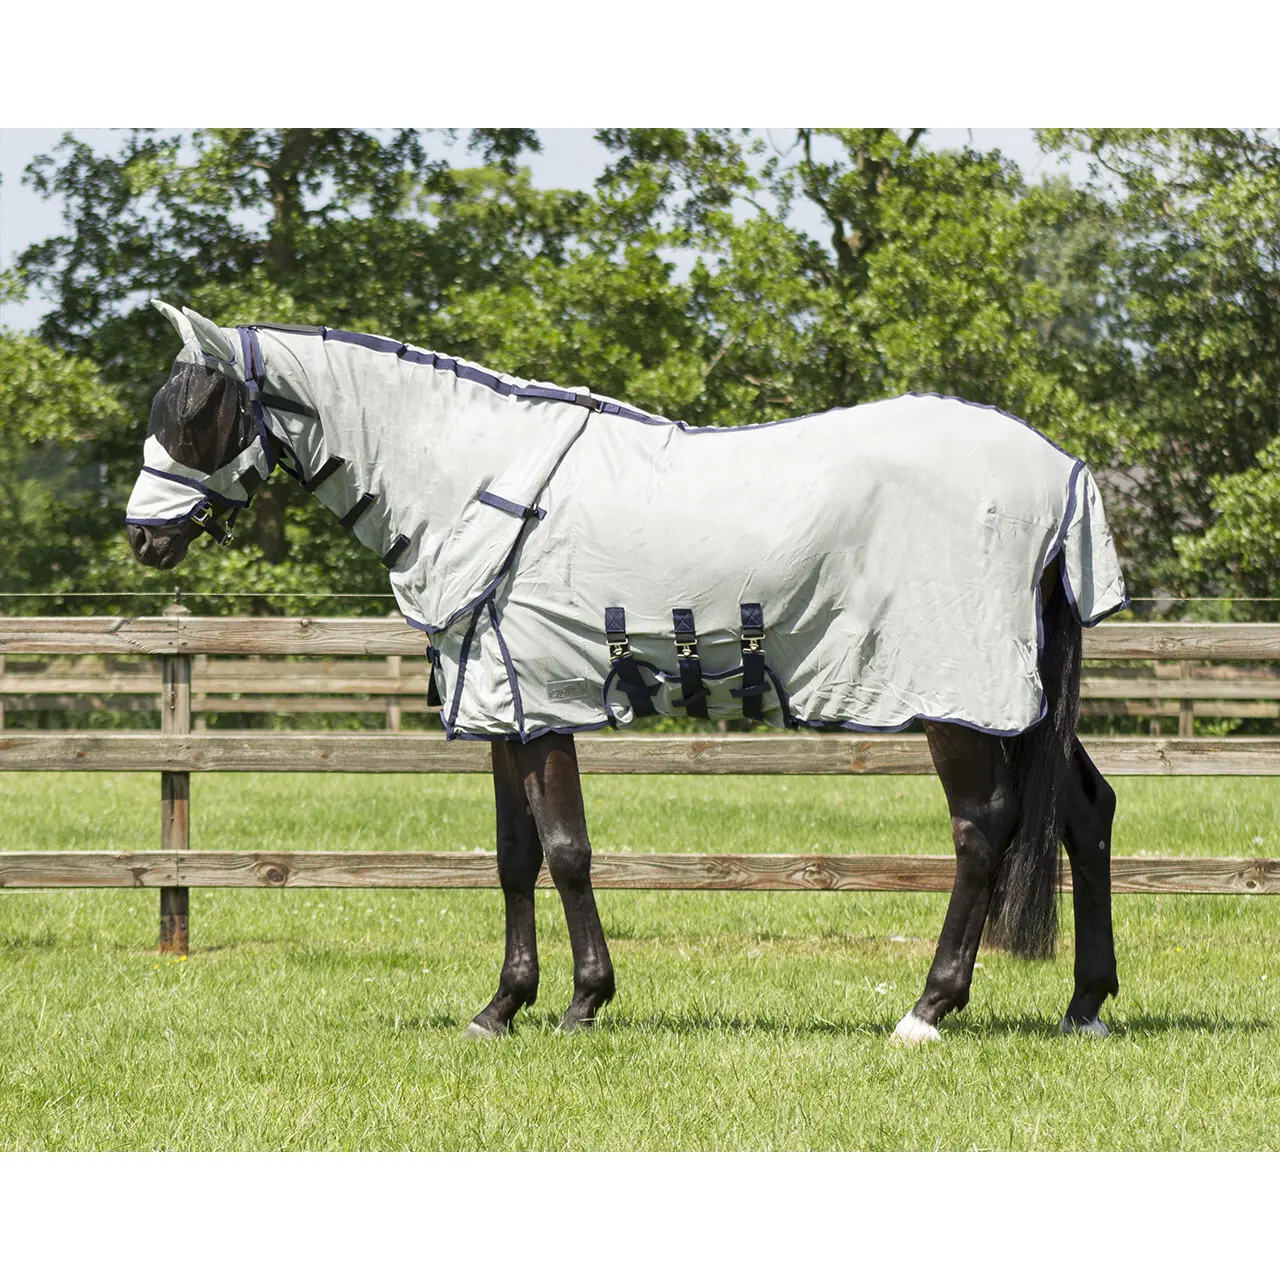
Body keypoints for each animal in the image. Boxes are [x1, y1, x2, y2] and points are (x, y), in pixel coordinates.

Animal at [126, 300, 1126, 1042]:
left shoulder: (541, 700)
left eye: (199, 413)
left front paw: (581, 1002)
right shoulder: (506, 703)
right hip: (1026, 706)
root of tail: (1062, 470)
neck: (474, 480)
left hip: (960, 699)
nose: (144, 537)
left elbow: (567, 850)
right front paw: (502, 1007)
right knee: (1085, 812)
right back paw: (1085, 1004)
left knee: (982, 829)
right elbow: (516, 854)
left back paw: (928, 1009)